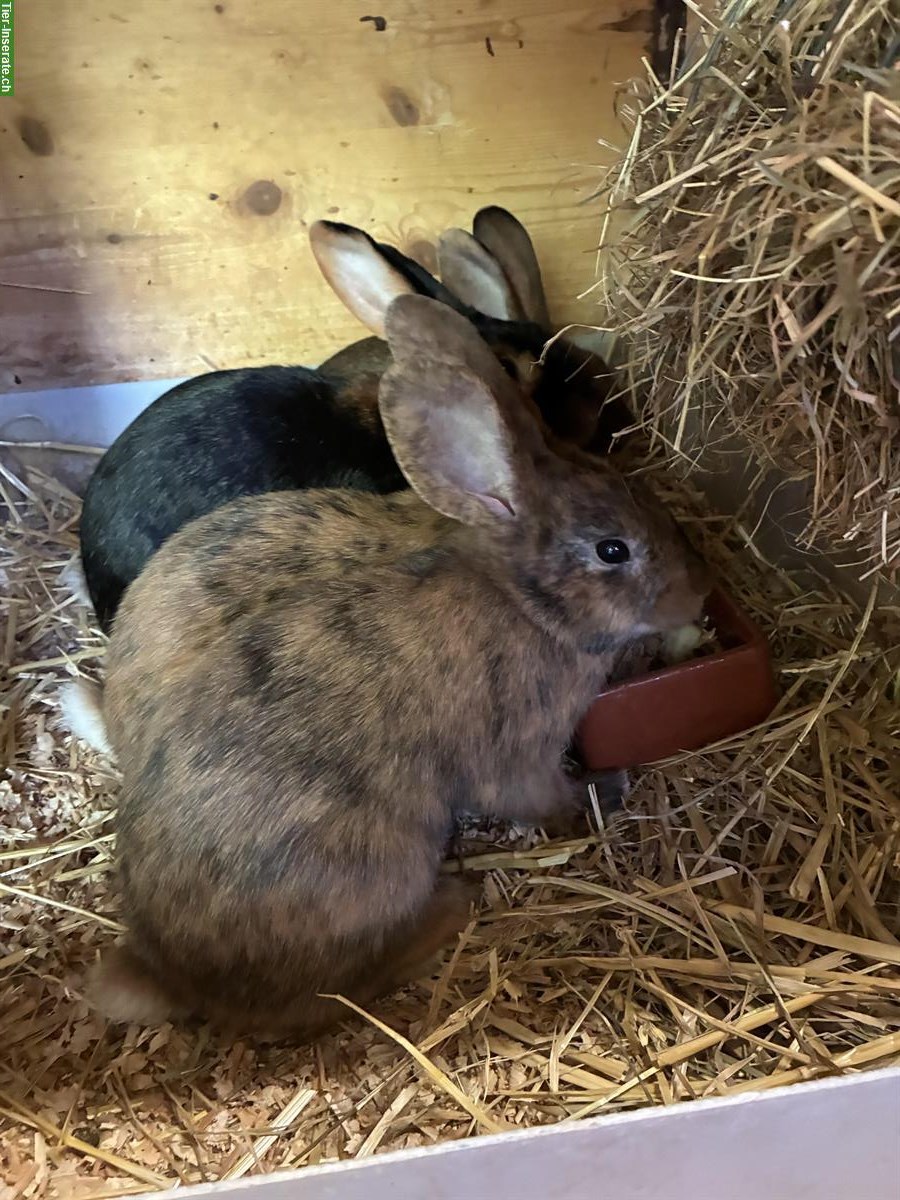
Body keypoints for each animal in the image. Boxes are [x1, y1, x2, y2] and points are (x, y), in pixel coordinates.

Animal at [87, 292, 708, 1038]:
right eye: (612, 551)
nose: (696, 591)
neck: (524, 599)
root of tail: (179, 977)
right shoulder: (519, 749)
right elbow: (543, 794)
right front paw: (607, 789)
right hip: (382, 866)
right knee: (339, 987)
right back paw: (452, 903)